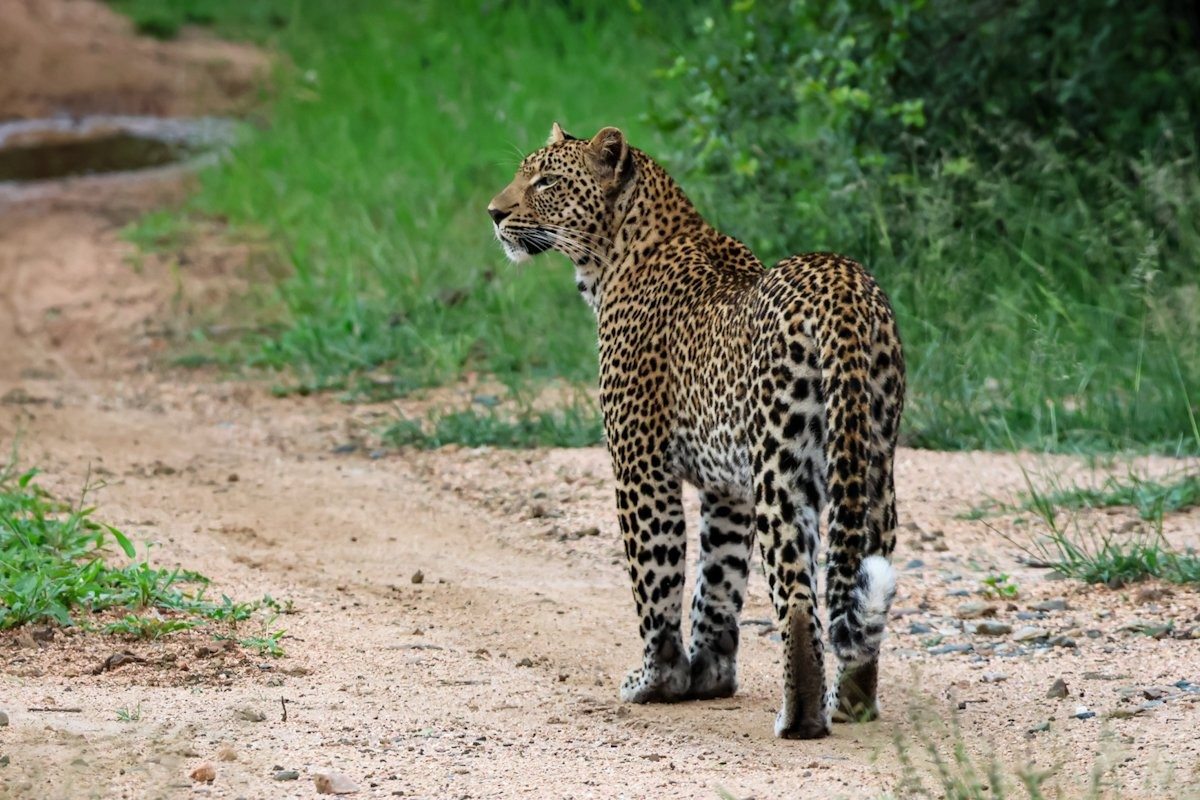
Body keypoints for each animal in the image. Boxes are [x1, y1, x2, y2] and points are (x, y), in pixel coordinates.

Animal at [488, 123, 905, 739]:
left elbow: (657, 577)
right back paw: (849, 703)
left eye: (546, 182)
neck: (618, 254)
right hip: (874, 460)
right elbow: (717, 581)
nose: (494, 212)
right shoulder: (726, 488)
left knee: (798, 598)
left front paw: (657, 681)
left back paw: (799, 719)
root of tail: (843, 285)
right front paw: (709, 676)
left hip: (782, 468)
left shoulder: (639, 465)